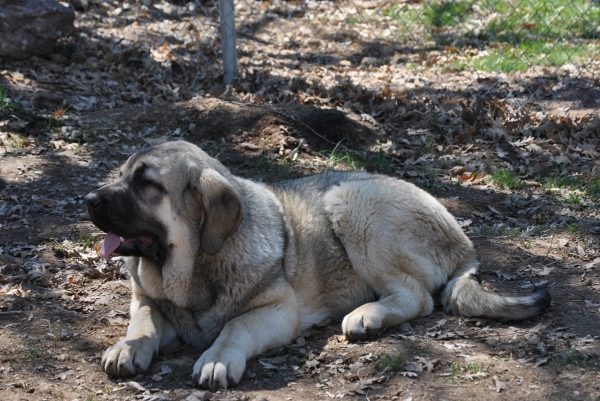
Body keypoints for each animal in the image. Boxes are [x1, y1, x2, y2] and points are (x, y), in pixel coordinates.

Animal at [84, 140, 548, 388]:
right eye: (123, 175)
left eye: (147, 183)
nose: (87, 199)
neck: (197, 266)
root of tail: (462, 239)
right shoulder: (147, 300)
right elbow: (143, 322)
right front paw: (128, 348)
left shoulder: (276, 311)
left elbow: (235, 327)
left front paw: (217, 358)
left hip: (351, 202)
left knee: (417, 297)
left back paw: (367, 315)